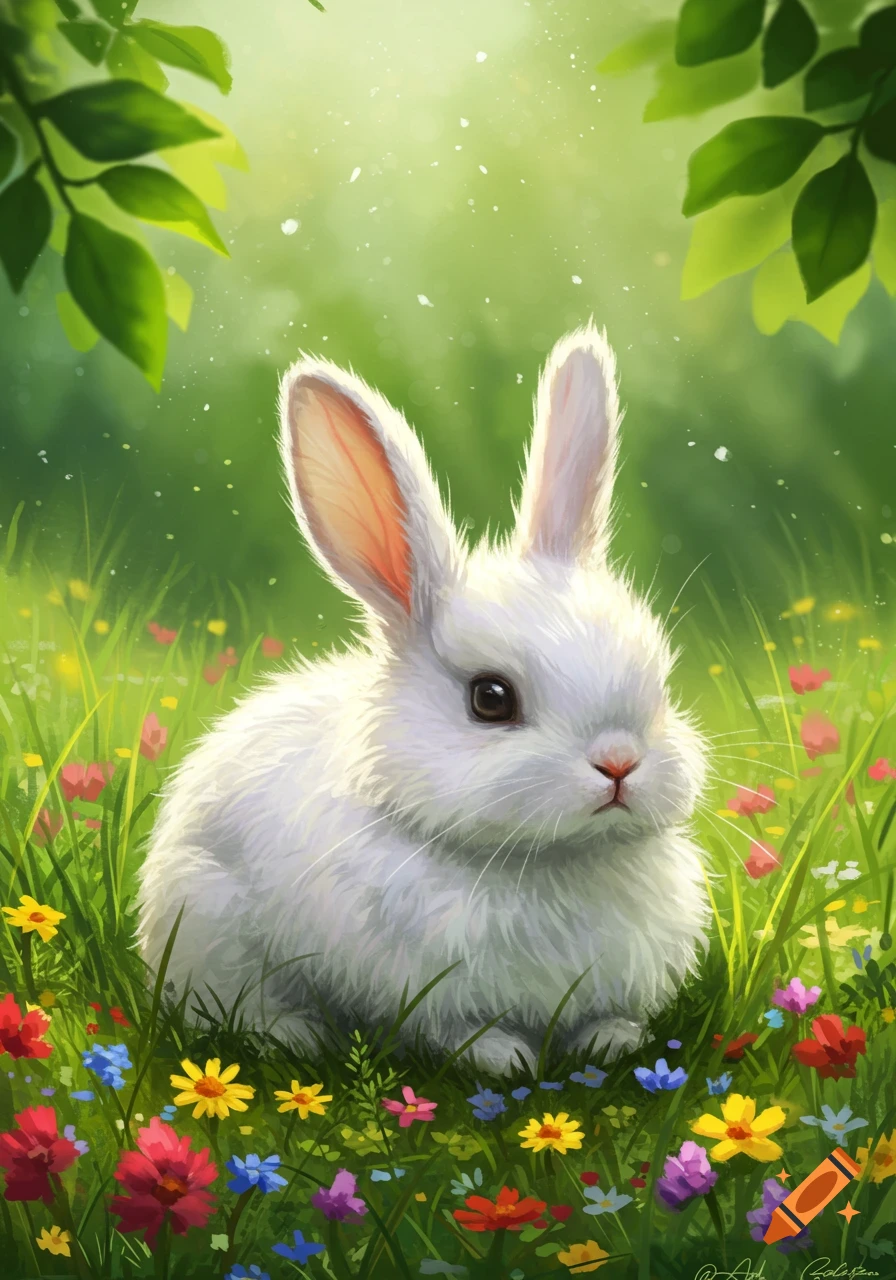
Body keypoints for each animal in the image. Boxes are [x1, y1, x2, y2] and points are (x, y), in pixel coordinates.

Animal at [136, 323, 709, 1077]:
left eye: (660, 682)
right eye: (491, 698)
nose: (619, 763)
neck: (547, 862)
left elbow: (604, 1020)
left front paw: (614, 1043)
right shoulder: (417, 989)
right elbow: (450, 1031)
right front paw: (506, 1059)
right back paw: (292, 1034)